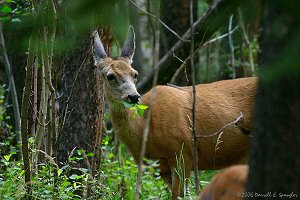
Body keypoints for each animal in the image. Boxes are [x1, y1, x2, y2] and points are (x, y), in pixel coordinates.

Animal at [92, 27, 256, 200]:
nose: (133, 96)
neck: (146, 130)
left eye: (135, 74)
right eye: (110, 76)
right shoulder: (158, 167)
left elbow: (178, 195)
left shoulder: (183, 151)